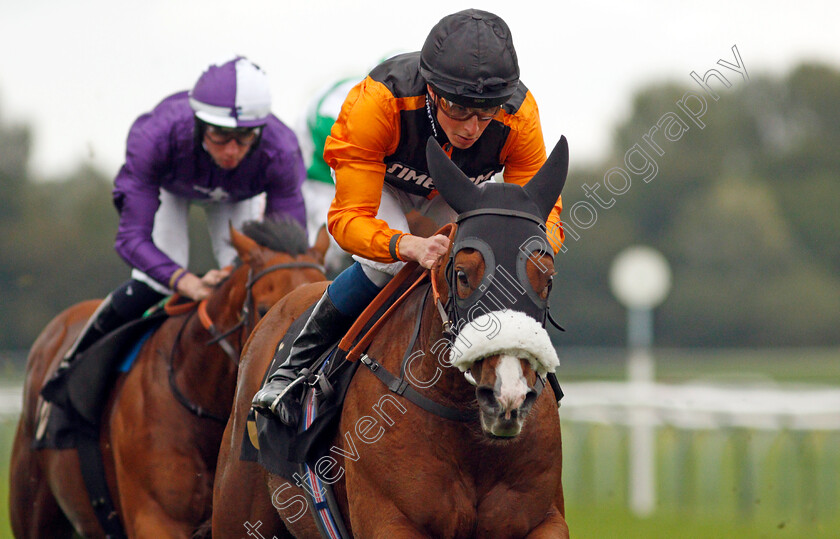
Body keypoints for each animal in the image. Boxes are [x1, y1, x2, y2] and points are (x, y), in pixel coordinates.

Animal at [212, 137, 572, 536]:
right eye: (463, 275)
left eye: (548, 280)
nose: (508, 396)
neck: (470, 429)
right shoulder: (389, 519)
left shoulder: (543, 519)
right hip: (236, 507)